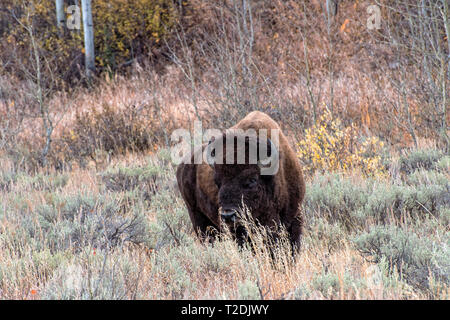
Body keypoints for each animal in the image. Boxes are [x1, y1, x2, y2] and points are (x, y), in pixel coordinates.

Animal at [176, 111, 306, 251]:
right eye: (217, 182)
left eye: (252, 180)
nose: (228, 215)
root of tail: (182, 166)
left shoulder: (294, 219)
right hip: (198, 219)